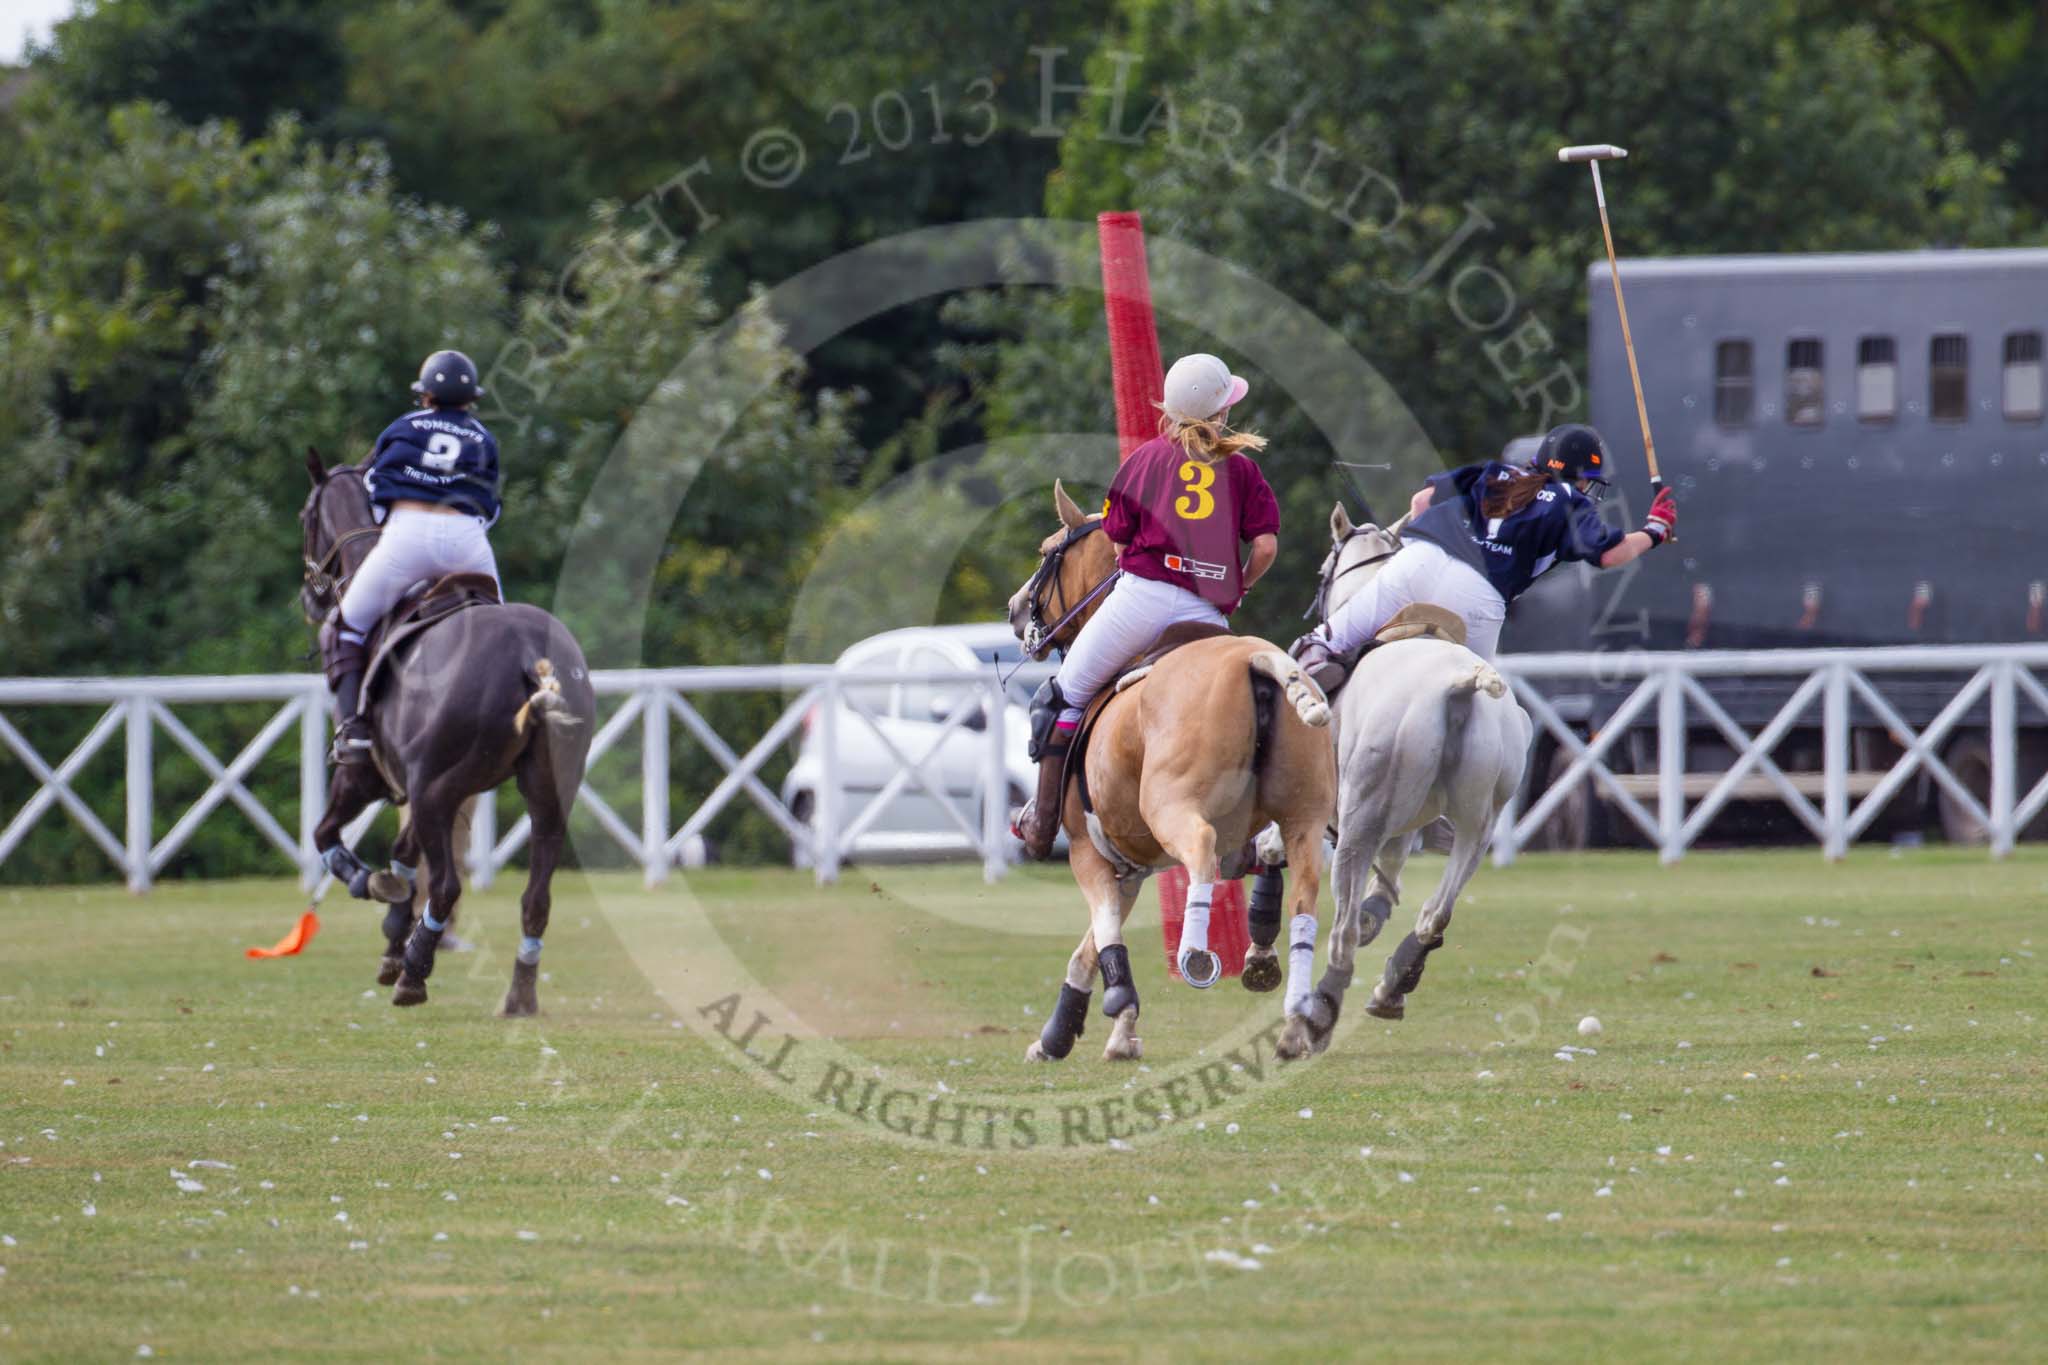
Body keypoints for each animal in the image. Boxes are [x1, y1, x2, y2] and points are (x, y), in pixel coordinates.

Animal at [299, 450, 598, 1015]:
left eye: (306, 515)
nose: (310, 597)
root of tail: (530, 656)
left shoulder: (368, 779)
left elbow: (329, 837)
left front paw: (370, 888)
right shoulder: (423, 785)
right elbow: (403, 856)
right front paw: (392, 936)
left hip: (435, 789)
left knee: (446, 886)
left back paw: (415, 976)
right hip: (546, 793)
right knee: (536, 898)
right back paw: (518, 994)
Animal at [1003, 482, 1327, 1064]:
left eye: (1047, 551)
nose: (1015, 610)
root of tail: (1256, 660)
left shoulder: (1090, 851)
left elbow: (1102, 933)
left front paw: (1116, 1016)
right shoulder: (1129, 863)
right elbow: (1088, 947)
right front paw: (1065, 1034)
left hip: (1173, 807)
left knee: (1201, 851)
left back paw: (1199, 955)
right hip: (1306, 818)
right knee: (1305, 892)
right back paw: (1287, 1010)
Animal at [1277, 507, 1540, 1064]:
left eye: (1321, 570)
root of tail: (1459, 688)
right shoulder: (1403, 825)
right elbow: (1387, 886)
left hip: (1358, 823)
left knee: (1342, 932)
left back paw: (1310, 1023)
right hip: (1479, 824)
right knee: (1436, 912)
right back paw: (1392, 987)